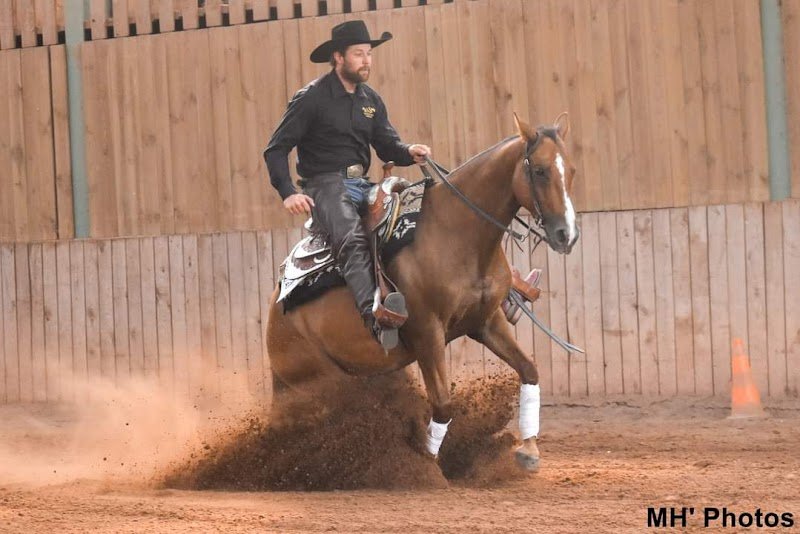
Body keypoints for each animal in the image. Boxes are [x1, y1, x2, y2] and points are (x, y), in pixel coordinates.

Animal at [266, 112, 579, 471]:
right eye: (539, 170)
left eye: (571, 170)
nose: (566, 235)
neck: (457, 233)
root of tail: (274, 313)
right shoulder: (427, 333)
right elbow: (442, 404)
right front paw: (427, 468)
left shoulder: (486, 322)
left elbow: (529, 371)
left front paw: (529, 449)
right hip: (318, 382)